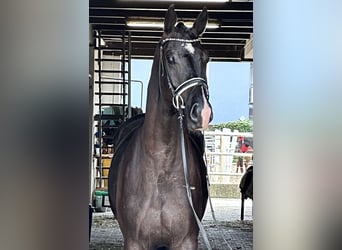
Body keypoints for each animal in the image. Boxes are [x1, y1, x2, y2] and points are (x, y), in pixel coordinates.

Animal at [108, 4, 212, 250]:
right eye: (170, 58)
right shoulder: (134, 242)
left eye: (205, 58)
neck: (160, 170)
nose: (202, 113)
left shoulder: (186, 241)